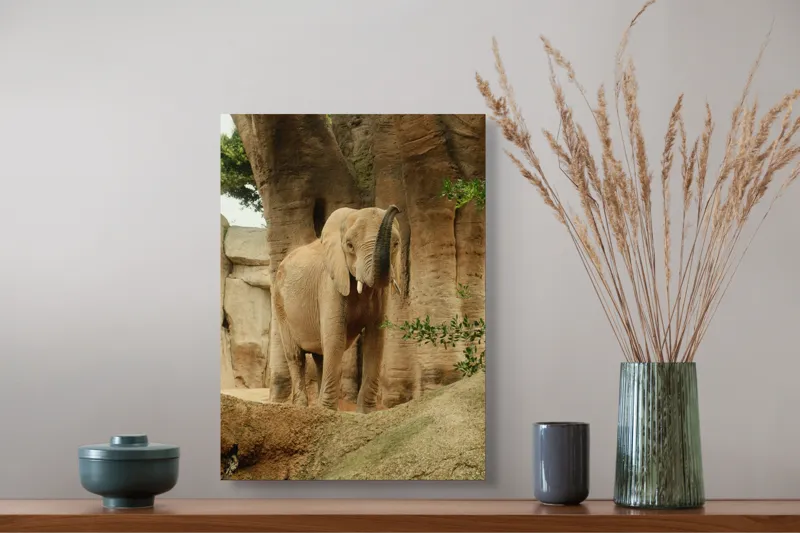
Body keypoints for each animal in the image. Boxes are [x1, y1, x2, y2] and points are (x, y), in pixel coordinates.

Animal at [272, 204, 402, 413]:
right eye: (349, 245)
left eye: (396, 244)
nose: (394, 208)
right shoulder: (329, 283)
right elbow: (335, 337)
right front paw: (328, 411)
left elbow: (375, 340)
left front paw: (365, 413)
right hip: (279, 303)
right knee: (296, 356)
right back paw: (302, 407)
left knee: (320, 356)